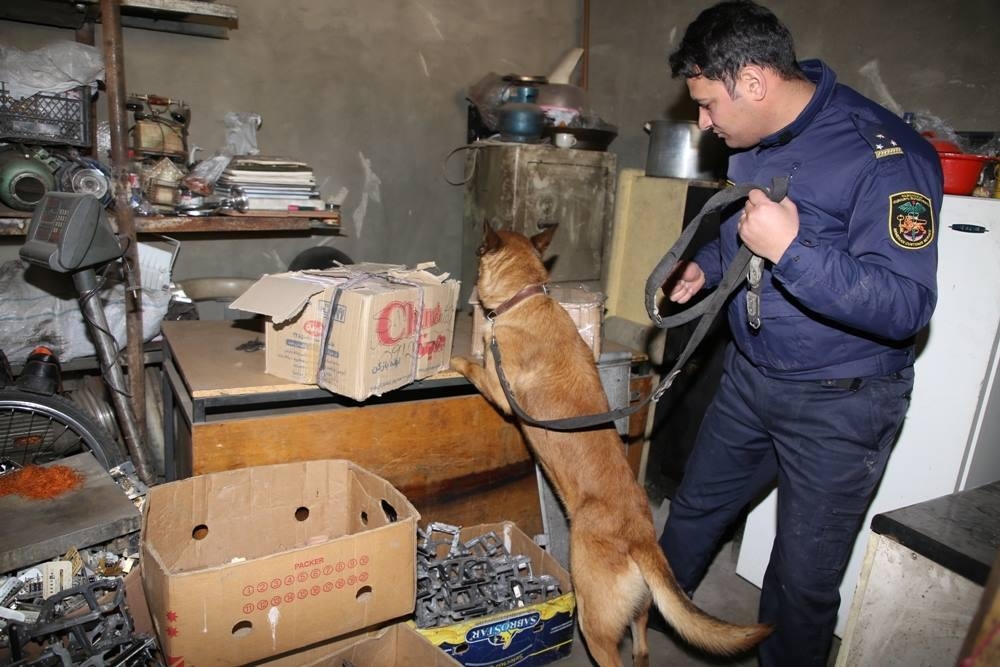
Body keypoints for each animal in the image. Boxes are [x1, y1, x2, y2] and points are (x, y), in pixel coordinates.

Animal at [450, 223, 771, 667]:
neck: (526, 298)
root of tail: (640, 538)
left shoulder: (499, 390)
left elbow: (474, 365)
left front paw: (457, 359)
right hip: (638, 613)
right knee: (641, 646)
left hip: (594, 623)